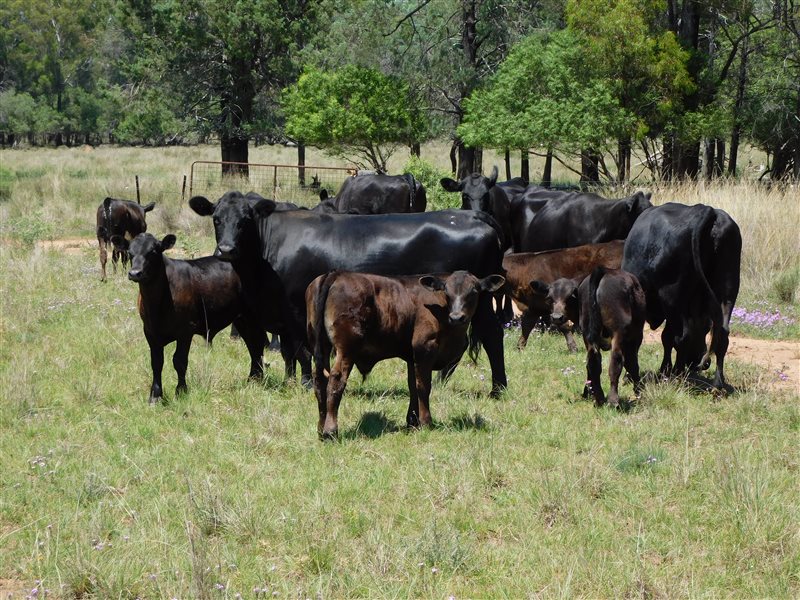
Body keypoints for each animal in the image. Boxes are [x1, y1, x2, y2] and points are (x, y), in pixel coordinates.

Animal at [120, 232, 266, 405]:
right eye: (130, 252)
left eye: (153, 251)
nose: (135, 273)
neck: (157, 304)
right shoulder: (150, 332)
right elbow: (156, 362)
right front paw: (155, 395)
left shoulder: (185, 331)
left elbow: (179, 361)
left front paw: (181, 391)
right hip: (241, 318)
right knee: (253, 345)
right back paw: (254, 379)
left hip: (254, 315)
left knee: (257, 344)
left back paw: (257, 379)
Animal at [189, 191, 508, 395]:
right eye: (216, 218)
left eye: (245, 220)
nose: (226, 250)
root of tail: (474, 215)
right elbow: (289, 351)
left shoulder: (296, 309)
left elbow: (304, 350)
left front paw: (308, 383)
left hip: (473, 300)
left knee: (491, 335)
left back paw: (496, 388)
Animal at [306, 270, 505, 439]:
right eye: (447, 293)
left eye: (474, 292)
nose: (457, 317)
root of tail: (336, 274)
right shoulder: (424, 348)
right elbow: (423, 386)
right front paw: (426, 422)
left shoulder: (412, 356)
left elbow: (412, 386)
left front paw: (412, 422)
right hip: (347, 348)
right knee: (336, 380)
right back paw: (331, 431)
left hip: (320, 345)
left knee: (320, 381)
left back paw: (321, 428)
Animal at [578, 267, 647, 408]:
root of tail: (605, 270)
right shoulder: (635, 337)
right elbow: (632, 363)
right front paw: (639, 391)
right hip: (619, 331)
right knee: (616, 360)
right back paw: (613, 400)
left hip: (586, 331)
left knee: (593, 361)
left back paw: (599, 399)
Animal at [622, 203, 742, 391]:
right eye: (705, 328)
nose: (701, 364)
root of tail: (707, 209)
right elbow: (666, 337)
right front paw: (664, 370)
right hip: (727, 290)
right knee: (722, 334)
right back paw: (717, 384)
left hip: (672, 295)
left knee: (683, 337)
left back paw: (679, 377)